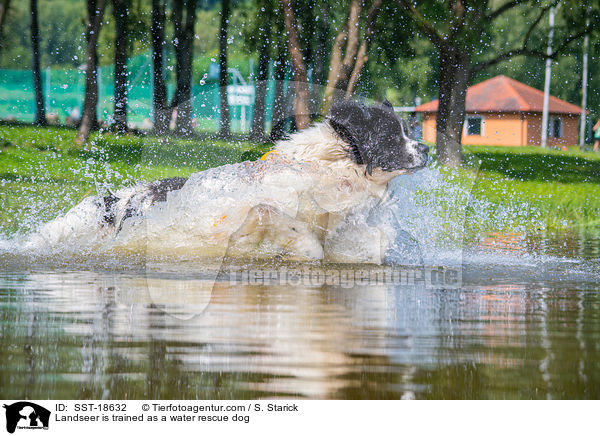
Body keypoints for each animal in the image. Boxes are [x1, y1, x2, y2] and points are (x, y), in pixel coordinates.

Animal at [30, 99, 428, 262]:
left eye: (407, 131)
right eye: (392, 136)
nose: (425, 148)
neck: (327, 169)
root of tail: (132, 196)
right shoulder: (267, 212)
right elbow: (303, 238)